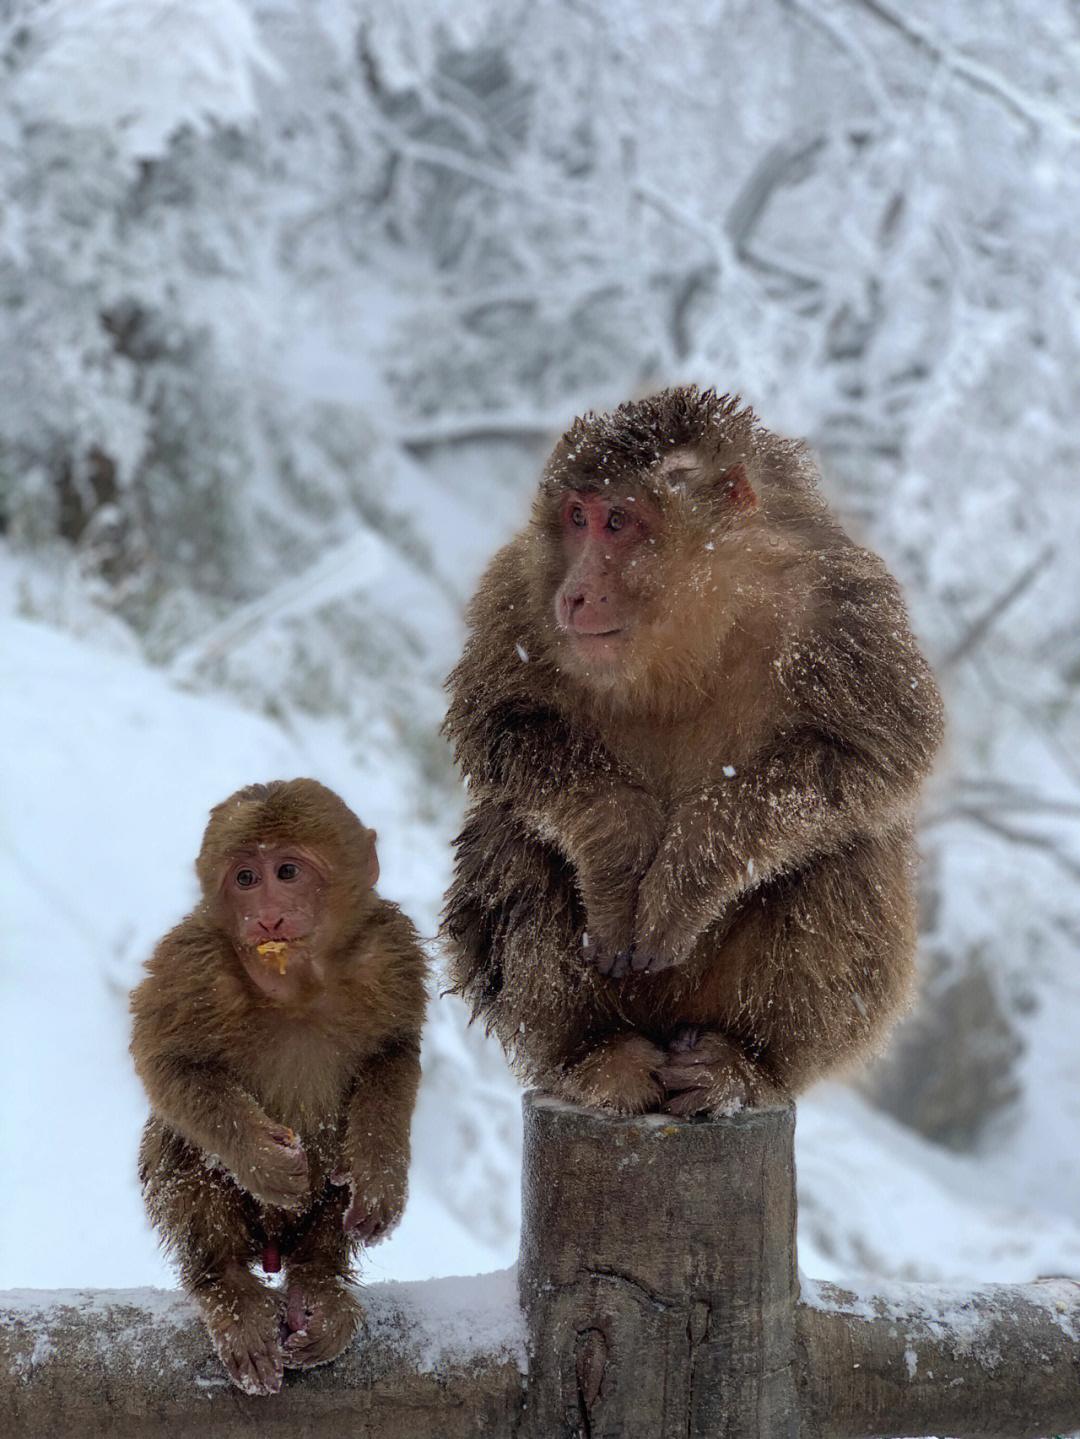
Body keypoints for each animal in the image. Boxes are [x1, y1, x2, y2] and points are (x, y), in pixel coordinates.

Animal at [128, 782, 425, 1398]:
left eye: (287, 871)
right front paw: (262, 1159)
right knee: (182, 1145)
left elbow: (394, 1053)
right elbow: (166, 1063)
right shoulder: (190, 964)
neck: (296, 988)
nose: (265, 917)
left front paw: (380, 1174)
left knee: (335, 1181)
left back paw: (319, 1280)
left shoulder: (391, 952)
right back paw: (228, 1290)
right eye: (245, 878)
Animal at [442, 388, 943, 1116]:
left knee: (844, 855)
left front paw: (682, 877)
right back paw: (593, 1055)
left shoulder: (847, 605)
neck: (693, 625)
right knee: (512, 835)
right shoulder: (519, 588)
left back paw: (745, 1064)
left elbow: (876, 755)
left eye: (619, 521)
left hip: (706, 1005)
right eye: (577, 518)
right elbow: (499, 725)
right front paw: (619, 842)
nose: (575, 592)